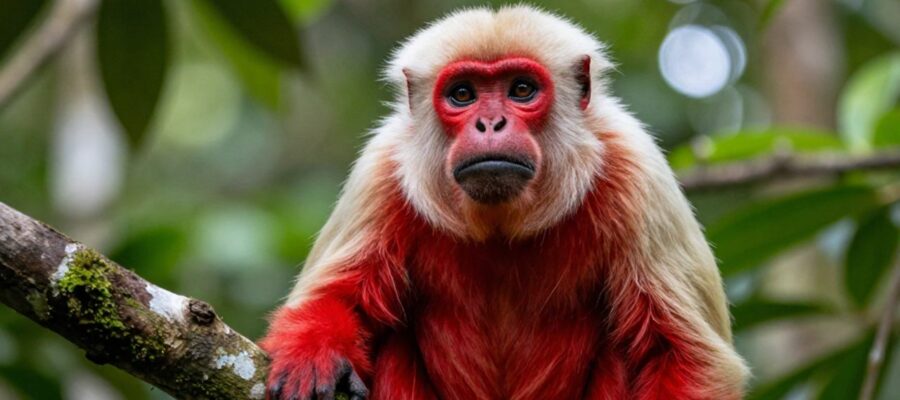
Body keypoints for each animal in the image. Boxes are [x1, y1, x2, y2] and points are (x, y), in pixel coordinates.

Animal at [261, 6, 749, 400]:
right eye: (462, 94)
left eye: (521, 90)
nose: (490, 123)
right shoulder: (380, 172)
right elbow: (334, 300)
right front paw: (314, 352)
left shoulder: (639, 173)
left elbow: (686, 357)